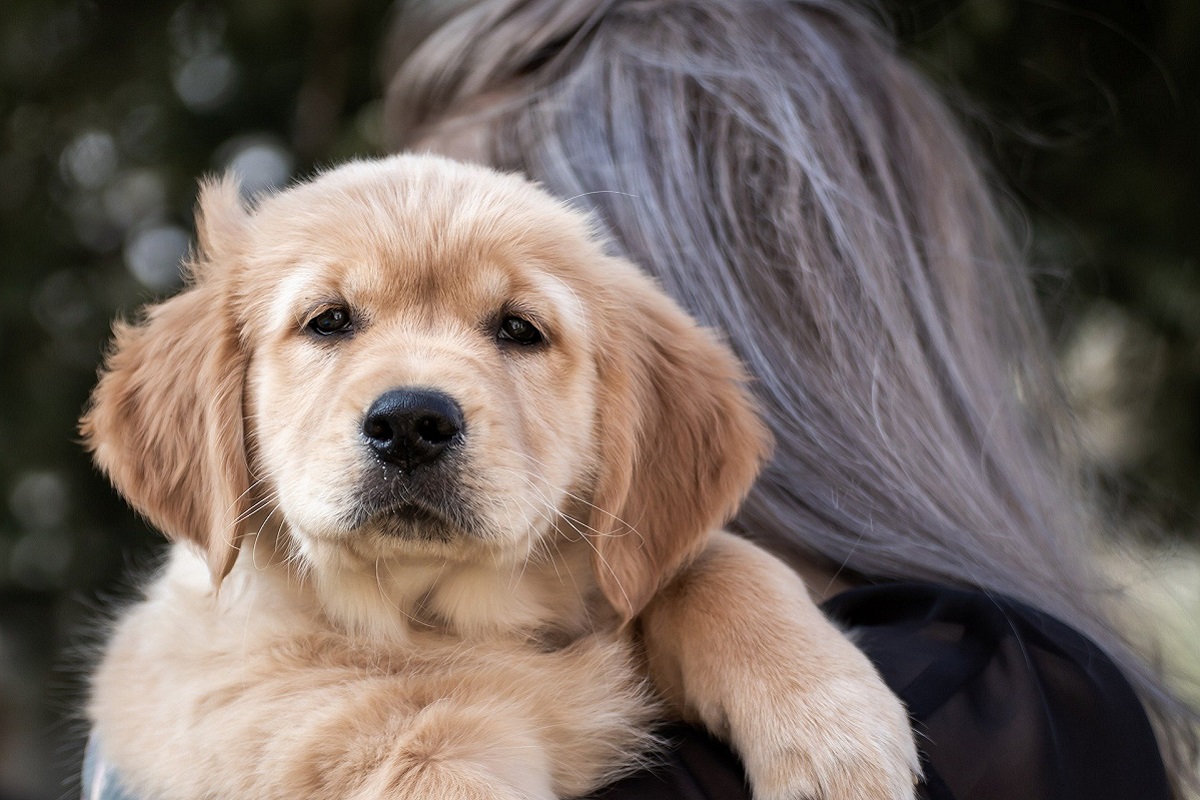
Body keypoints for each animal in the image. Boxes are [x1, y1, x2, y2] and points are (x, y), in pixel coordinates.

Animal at [79, 155, 912, 800]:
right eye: (329, 321)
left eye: (519, 328)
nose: (410, 422)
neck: (431, 617)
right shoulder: (241, 696)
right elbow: (406, 734)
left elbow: (719, 563)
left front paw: (833, 732)